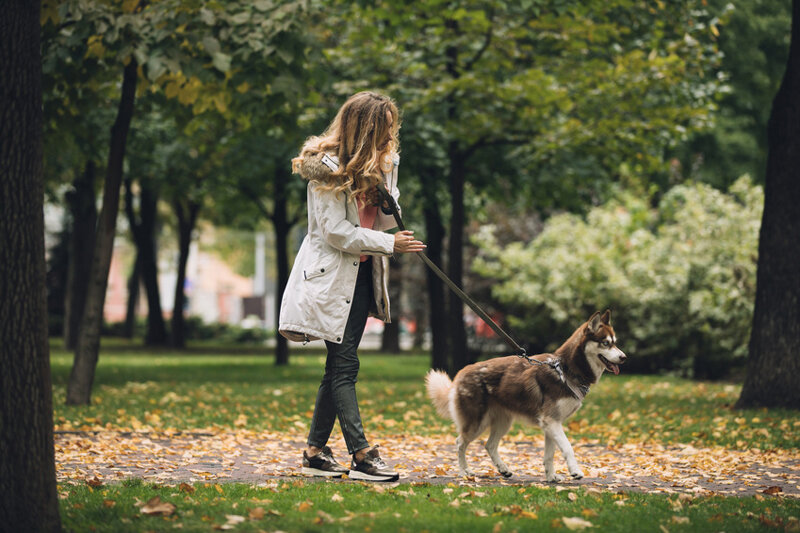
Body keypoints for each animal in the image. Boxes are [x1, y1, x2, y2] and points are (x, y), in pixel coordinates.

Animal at [428, 310, 628, 480]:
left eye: (615, 342)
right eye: (605, 343)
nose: (624, 357)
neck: (566, 370)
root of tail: (461, 374)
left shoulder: (552, 424)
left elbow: (550, 454)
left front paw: (551, 477)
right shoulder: (551, 421)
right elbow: (567, 448)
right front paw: (575, 471)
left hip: (503, 422)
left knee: (489, 445)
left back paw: (503, 469)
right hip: (477, 422)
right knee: (460, 442)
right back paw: (464, 471)